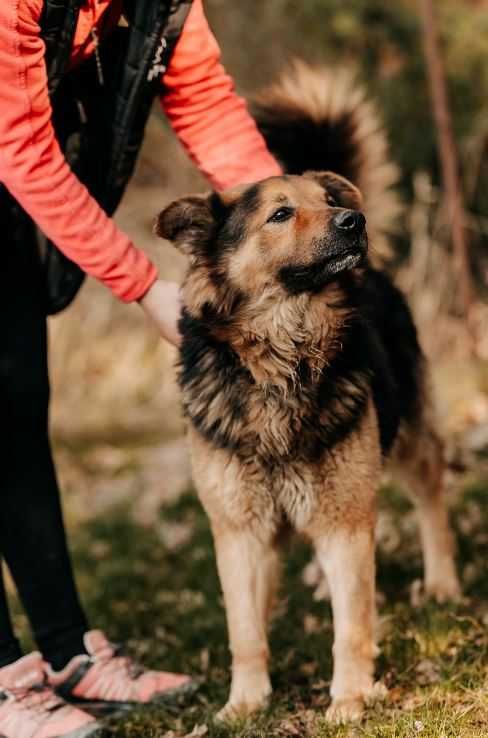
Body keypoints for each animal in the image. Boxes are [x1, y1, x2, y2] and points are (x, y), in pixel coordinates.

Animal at [154, 61, 460, 720]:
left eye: (328, 203)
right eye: (280, 214)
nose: (355, 222)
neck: (282, 357)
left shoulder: (345, 523)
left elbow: (353, 626)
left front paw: (348, 699)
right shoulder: (238, 531)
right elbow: (245, 630)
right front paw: (245, 703)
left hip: (408, 437)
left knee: (431, 497)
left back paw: (443, 581)